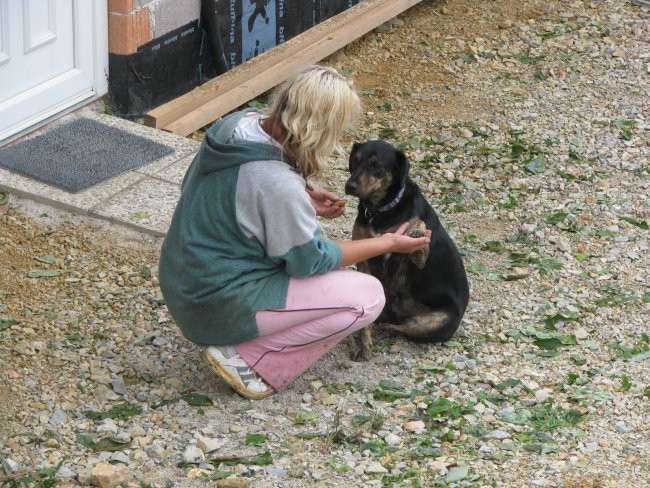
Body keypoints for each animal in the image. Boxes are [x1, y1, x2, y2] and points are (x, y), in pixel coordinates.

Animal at [342, 139, 468, 360]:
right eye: (355, 161)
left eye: (375, 165)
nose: (350, 186)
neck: (380, 210)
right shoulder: (364, 257)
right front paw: (363, 343)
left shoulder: (412, 256)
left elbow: (417, 227)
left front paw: (416, 231)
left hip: (439, 320)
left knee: (399, 329)